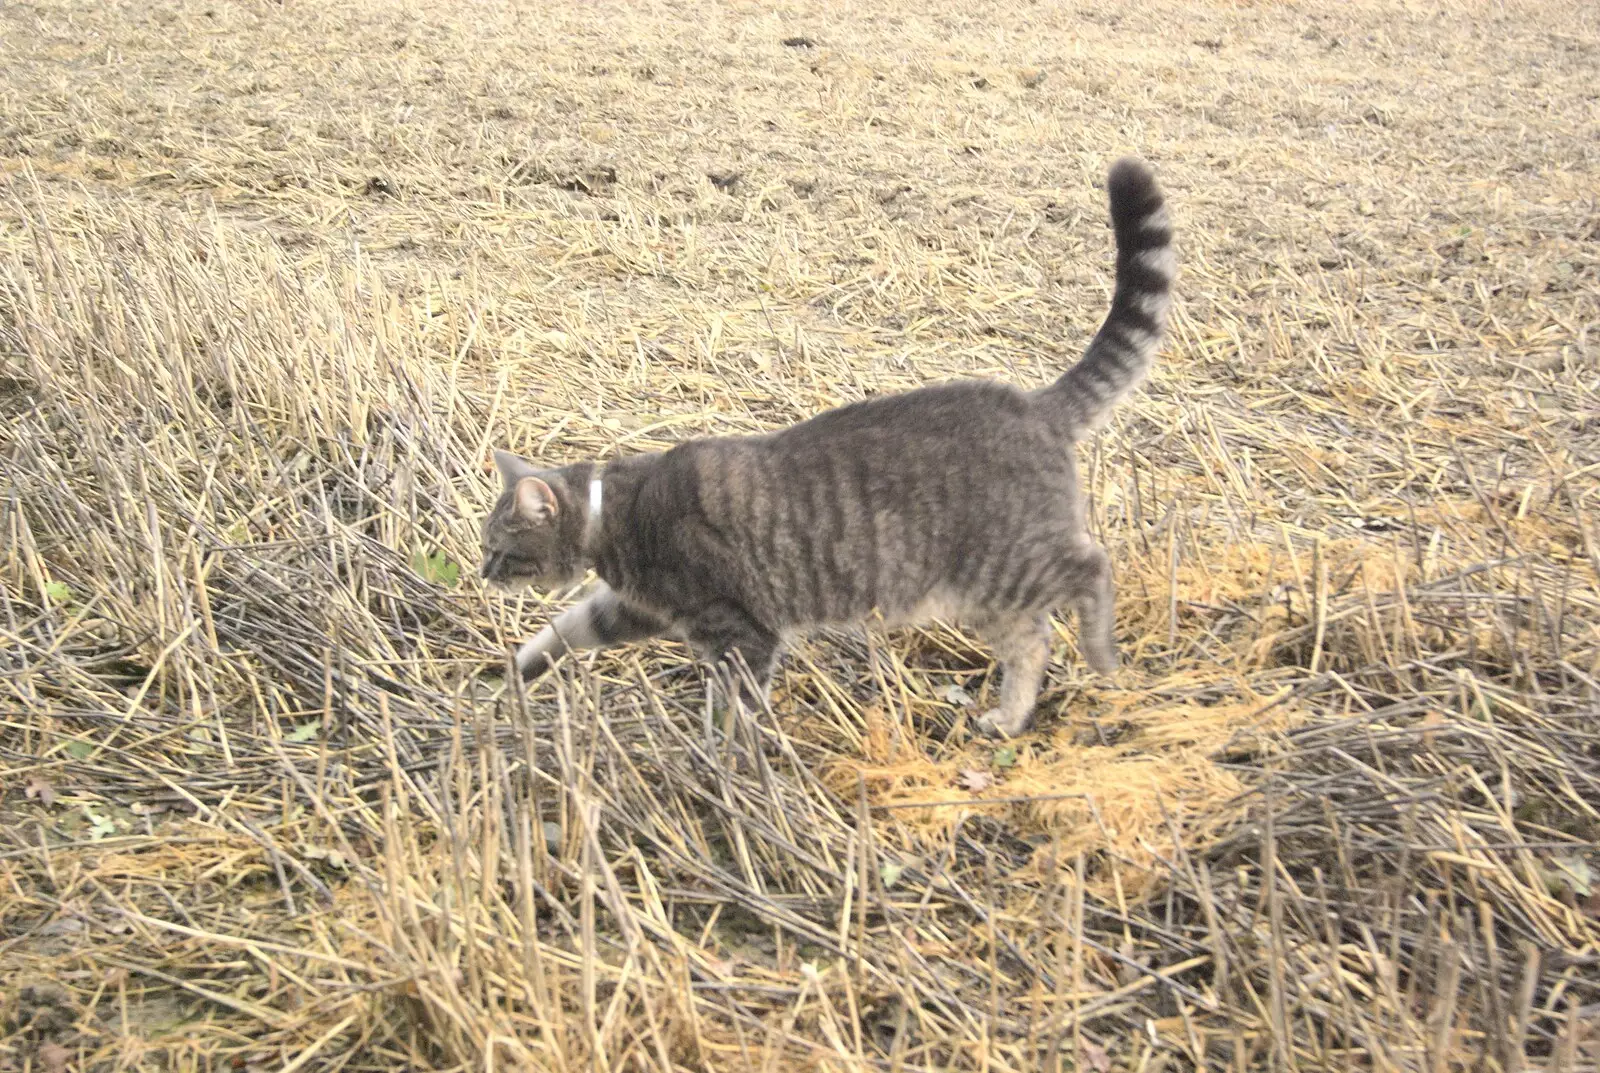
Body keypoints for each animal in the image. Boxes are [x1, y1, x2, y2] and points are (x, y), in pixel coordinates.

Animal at [476, 157, 1177, 738]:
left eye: (500, 550)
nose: (483, 575)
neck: (614, 510)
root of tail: (1032, 404)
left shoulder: (739, 630)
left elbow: (731, 707)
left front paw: (720, 762)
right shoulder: (628, 611)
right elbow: (564, 629)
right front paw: (516, 668)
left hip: (1005, 566)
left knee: (1092, 569)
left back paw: (1102, 657)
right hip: (988, 596)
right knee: (1031, 644)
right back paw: (1007, 717)